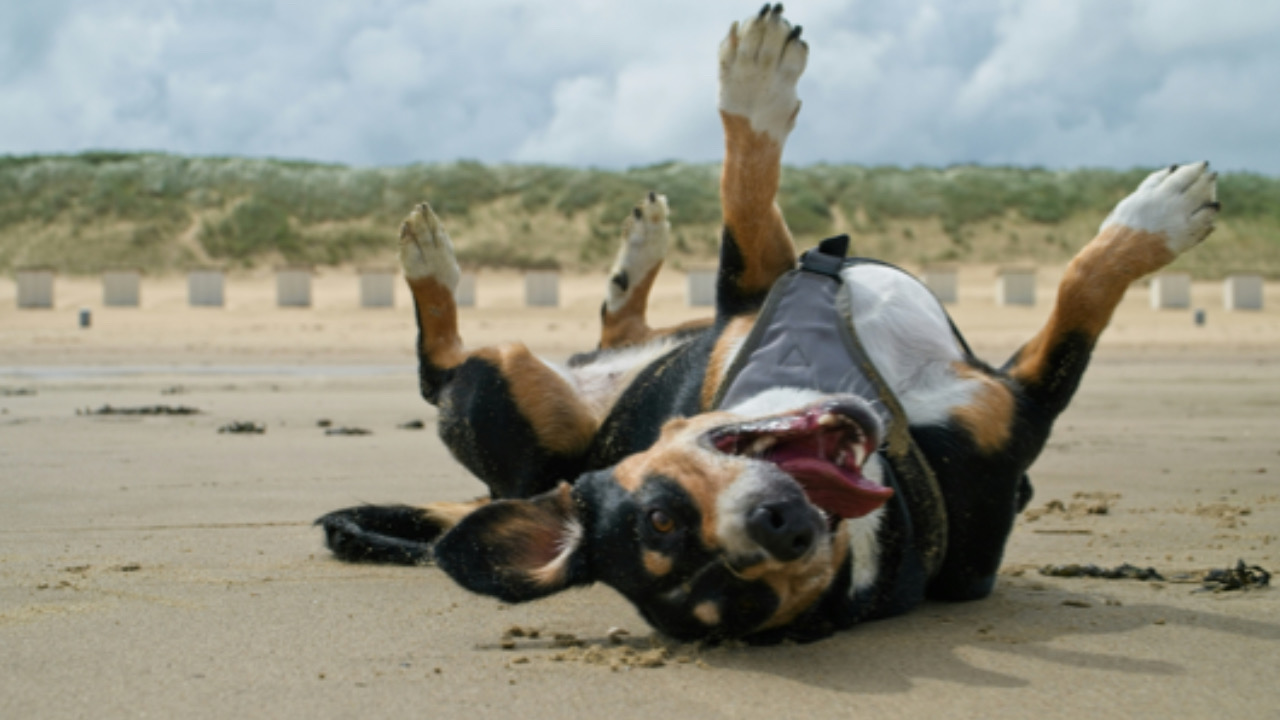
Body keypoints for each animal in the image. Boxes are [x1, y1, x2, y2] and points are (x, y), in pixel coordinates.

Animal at [320, 5, 1218, 640]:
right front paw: (1162, 217)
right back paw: (430, 260)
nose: (777, 527)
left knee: (614, 327)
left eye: (661, 511)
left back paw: (634, 253)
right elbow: (1082, 294)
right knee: (436, 363)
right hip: (493, 386)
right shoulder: (1015, 399)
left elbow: (747, 185)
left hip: (565, 368)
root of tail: (534, 481)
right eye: (752, 596)